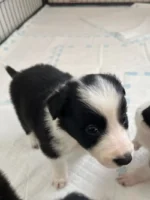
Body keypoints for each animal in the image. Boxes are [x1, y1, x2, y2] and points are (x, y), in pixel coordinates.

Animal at [6, 64, 134, 189]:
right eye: (92, 129)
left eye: (124, 119)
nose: (126, 159)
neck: (70, 136)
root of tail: (19, 73)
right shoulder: (49, 142)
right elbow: (58, 161)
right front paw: (60, 179)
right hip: (19, 111)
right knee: (26, 127)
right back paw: (33, 141)